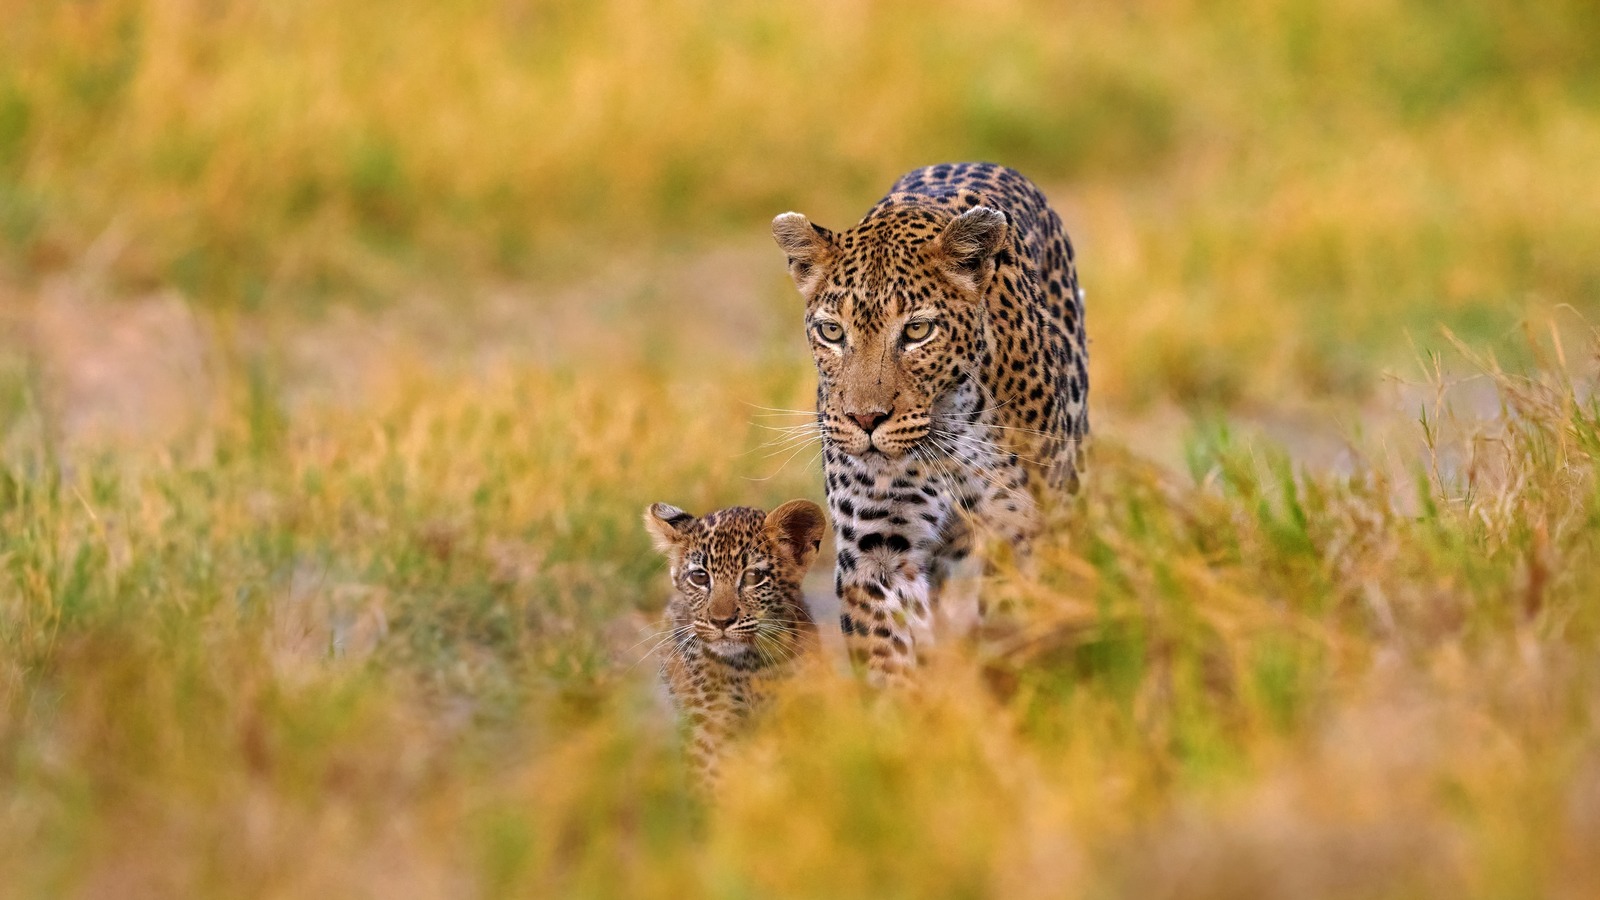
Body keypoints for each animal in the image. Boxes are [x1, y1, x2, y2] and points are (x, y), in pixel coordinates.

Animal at [771, 160, 1088, 682]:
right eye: (832, 332)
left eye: (918, 330)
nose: (866, 418)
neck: (950, 426)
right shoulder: (879, 549)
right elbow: (889, 655)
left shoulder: (1021, 532)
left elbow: (1012, 621)